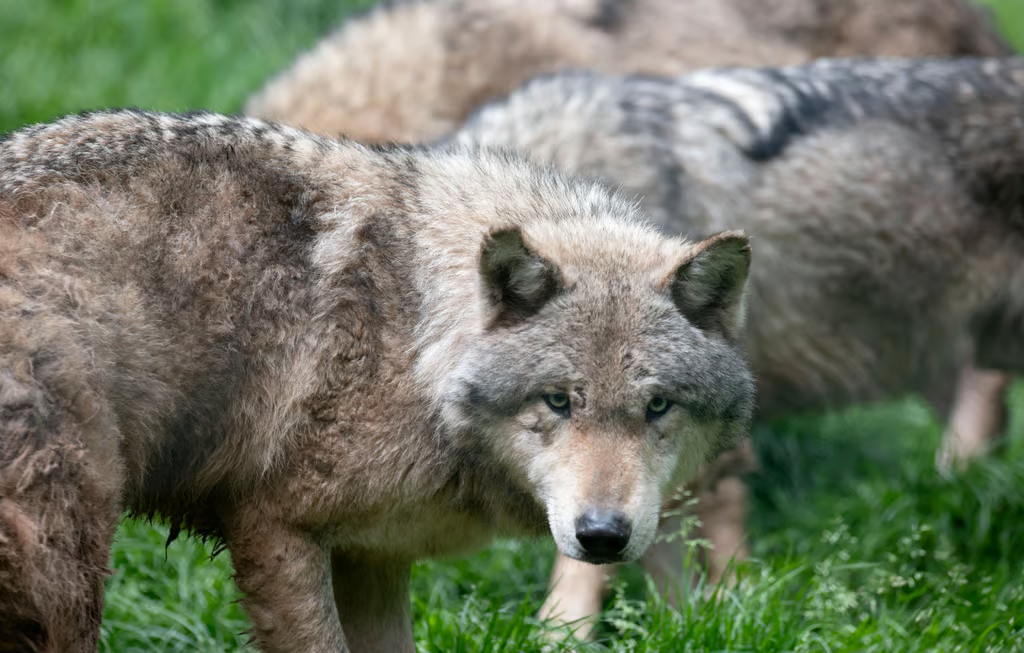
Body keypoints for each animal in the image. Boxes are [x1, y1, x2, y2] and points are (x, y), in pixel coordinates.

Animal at [0, 111, 753, 653]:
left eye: (658, 405)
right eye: (559, 401)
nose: (602, 536)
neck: (414, 335)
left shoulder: (372, 556)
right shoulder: (276, 529)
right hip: (66, 571)